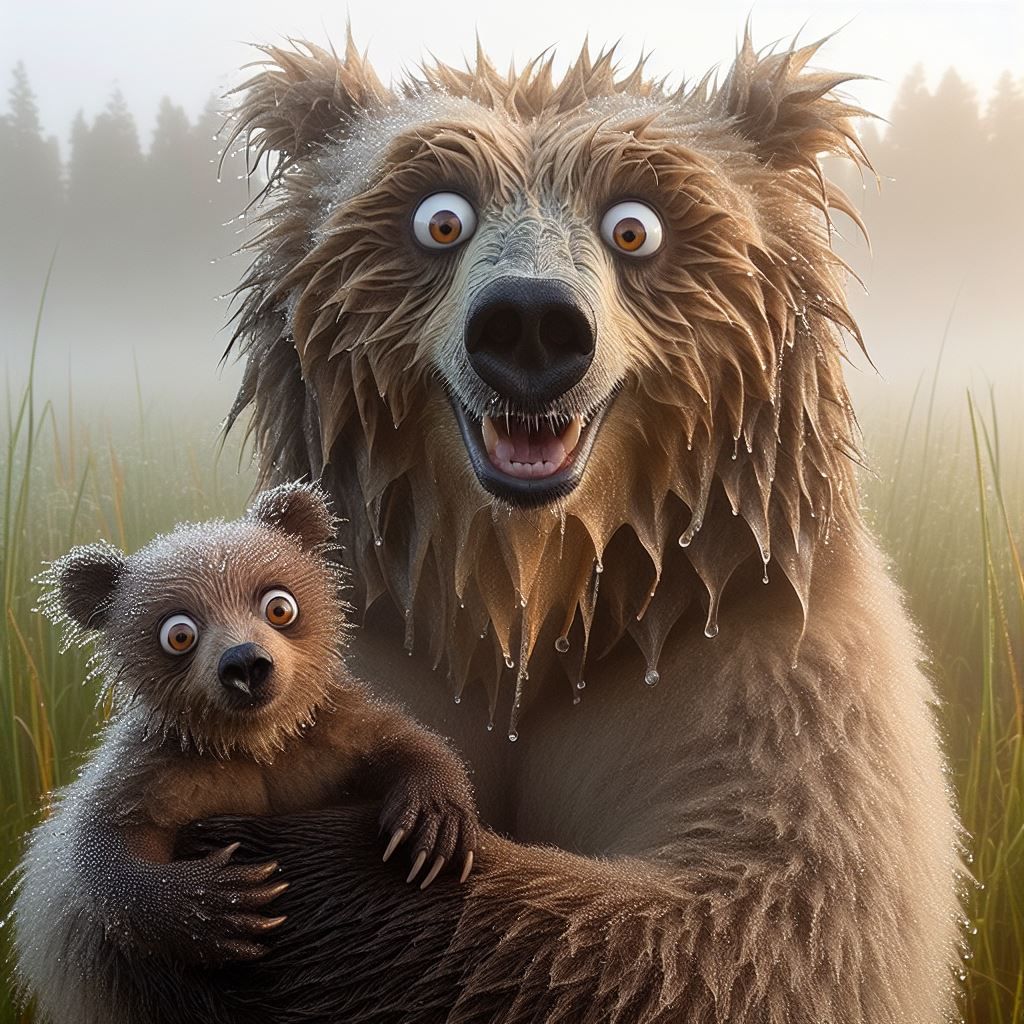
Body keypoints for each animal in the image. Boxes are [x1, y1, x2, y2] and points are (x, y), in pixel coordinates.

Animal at [12, 482, 479, 1024]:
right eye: (178, 633)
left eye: (279, 606)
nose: (246, 665)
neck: (252, 745)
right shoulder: (157, 770)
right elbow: (98, 845)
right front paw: (220, 902)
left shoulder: (325, 739)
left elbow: (404, 741)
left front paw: (433, 825)